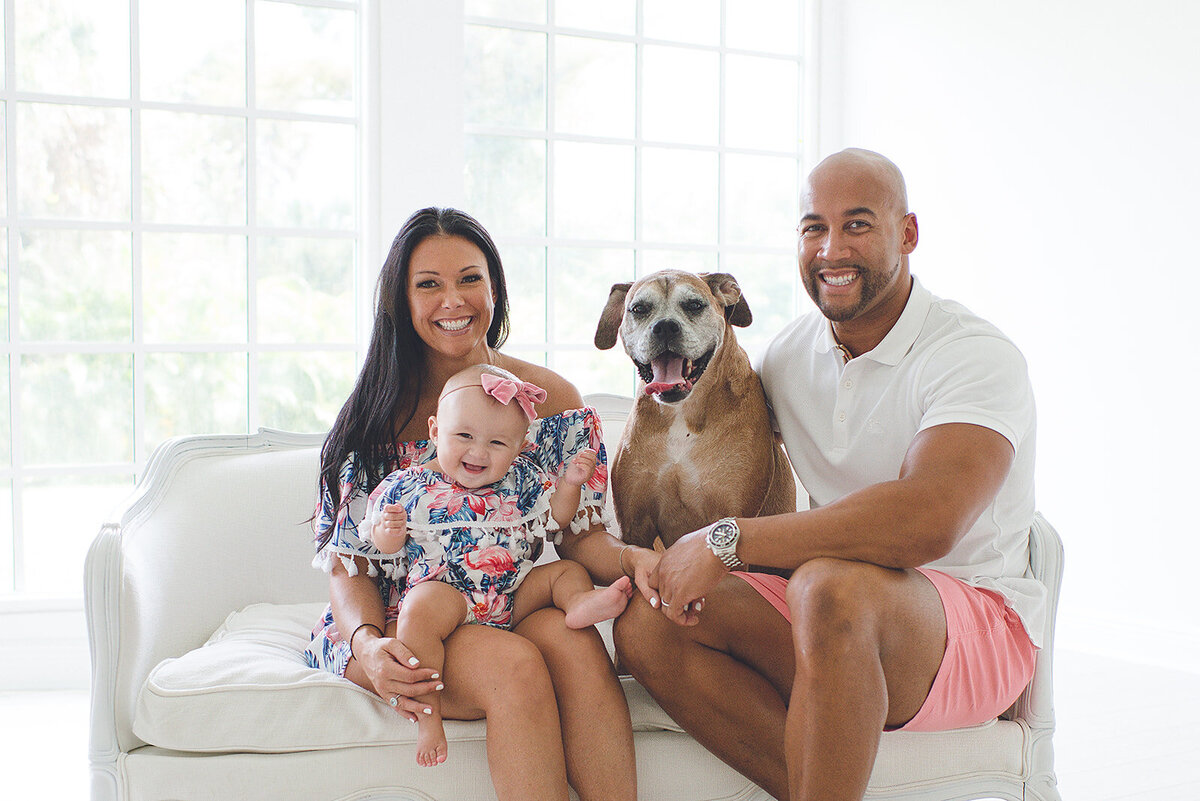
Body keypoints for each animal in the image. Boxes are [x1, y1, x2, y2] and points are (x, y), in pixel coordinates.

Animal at [592, 268, 796, 551]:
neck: (682, 412)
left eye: (695, 305)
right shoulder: (636, 526)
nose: (665, 326)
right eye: (639, 308)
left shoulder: (732, 511)